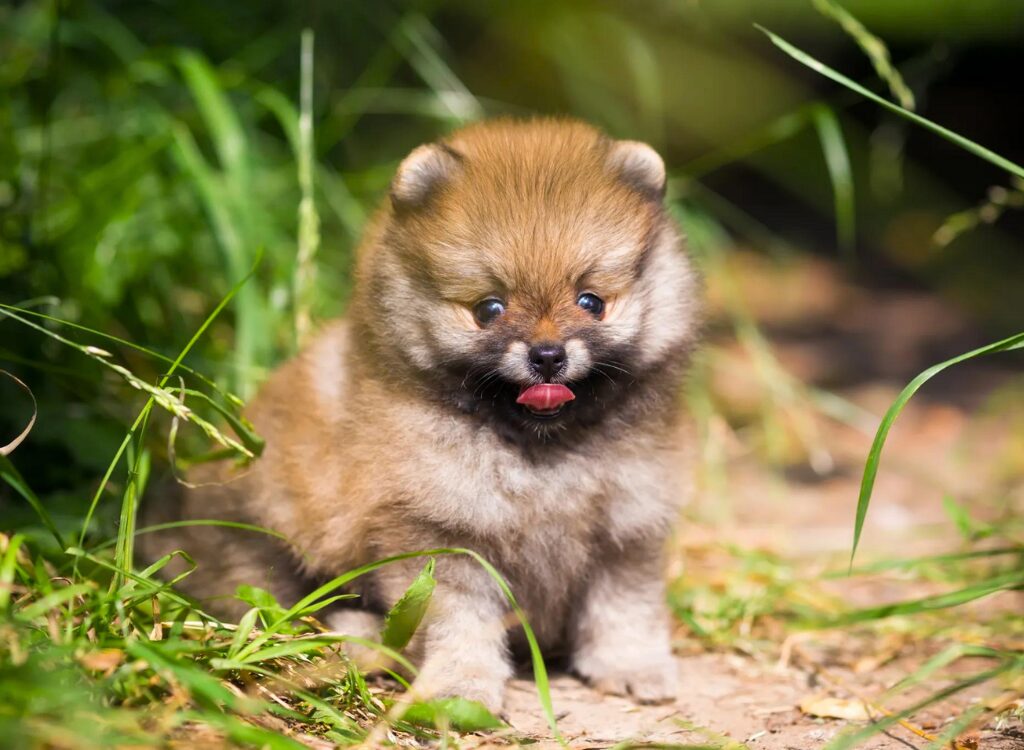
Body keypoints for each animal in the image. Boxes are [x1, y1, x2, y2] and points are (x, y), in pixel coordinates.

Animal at [144, 117, 700, 709]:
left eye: (591, 301)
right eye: (489, 309)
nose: (547, 355)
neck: (540, 453)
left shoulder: (627, 528)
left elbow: (624, 611)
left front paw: (632, 666)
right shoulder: (443, 538)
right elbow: (457, 624)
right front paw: (461, 687)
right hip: (263, 535)